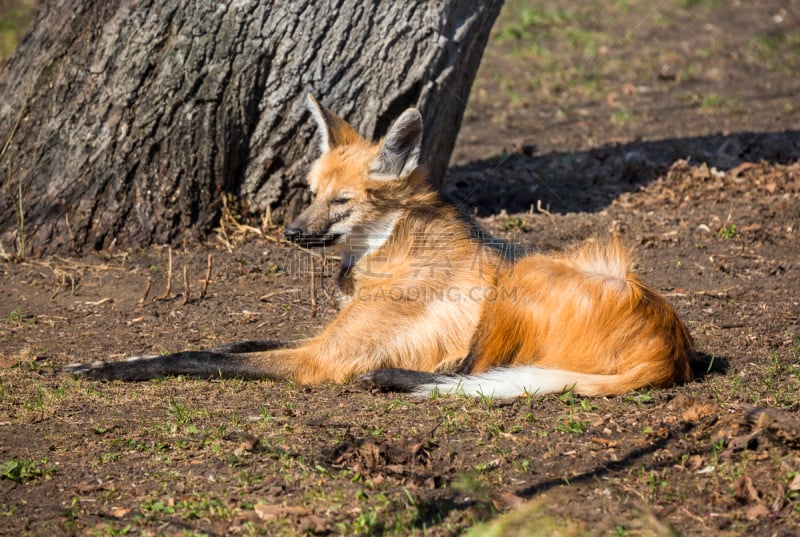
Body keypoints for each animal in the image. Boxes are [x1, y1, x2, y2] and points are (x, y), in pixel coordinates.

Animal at [67, 94, 692, 396]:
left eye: (343, 202)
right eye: (312, 193)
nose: (291, 233)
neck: (386, 250)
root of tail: (670, 349)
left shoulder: (320, 359)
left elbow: (199, 357)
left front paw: (105, 369)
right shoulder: (327, 334)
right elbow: (231, 343)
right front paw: (120, 357)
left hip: (525, 278)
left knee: (479, 373)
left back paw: (396, 377)